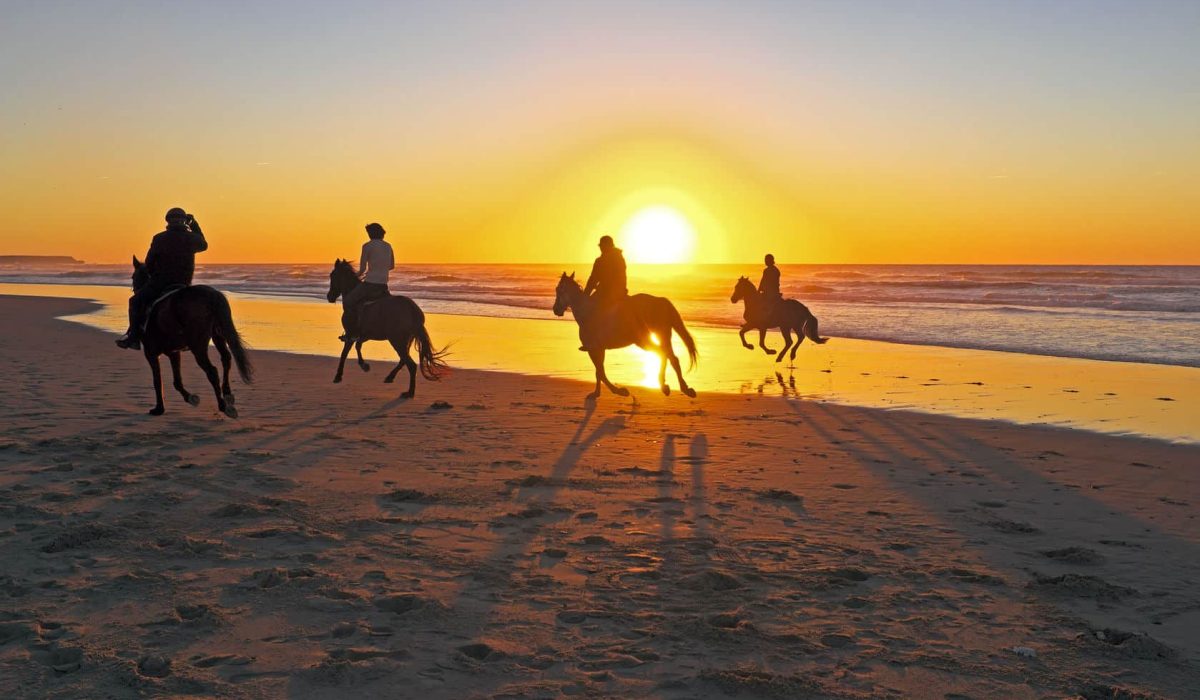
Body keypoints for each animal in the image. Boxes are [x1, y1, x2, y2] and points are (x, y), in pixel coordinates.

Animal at [129, 260, 253, 420]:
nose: (134, 290)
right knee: (226, 359)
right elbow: (177, 381)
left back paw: (223, 406)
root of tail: (212, 296)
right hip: (218, 335)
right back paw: (227, 395)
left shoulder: (151, 353)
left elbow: (157, 380)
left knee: (212, 371)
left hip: (198, 346)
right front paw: (191, 398)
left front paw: (159, 409)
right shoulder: (174, 352)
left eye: (133, 277)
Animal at [324, 259, 451, 401]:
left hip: (397, 340)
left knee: (410, 364)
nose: (329, 296)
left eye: (332, 275)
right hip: (405, 340)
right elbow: (358, 346)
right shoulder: (364, 335)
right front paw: (364, 365)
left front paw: (338, 376)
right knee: (404, 360)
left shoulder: (351, 334)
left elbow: (344, 354)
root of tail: (412, 309)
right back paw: (391, 377)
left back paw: (409, 392)